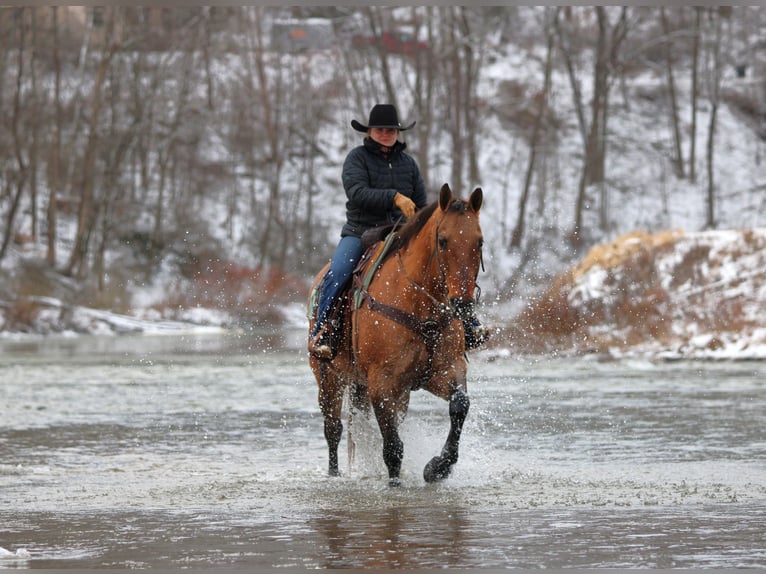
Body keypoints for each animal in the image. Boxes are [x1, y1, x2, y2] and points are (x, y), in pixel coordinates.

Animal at [308, 183, 484, 485]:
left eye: (480, 242)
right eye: (443, 241)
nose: (462, 304)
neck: (420, 306)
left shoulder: (444, 370)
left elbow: (460, 404)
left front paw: (437, 467)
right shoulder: (383, 382)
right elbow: (392, 446)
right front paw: (395, 483)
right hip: (328, 378)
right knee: (333, 429)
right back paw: (334, 474)